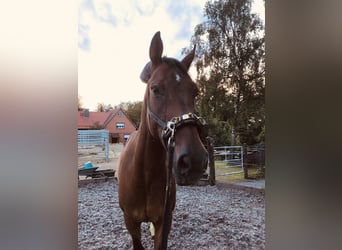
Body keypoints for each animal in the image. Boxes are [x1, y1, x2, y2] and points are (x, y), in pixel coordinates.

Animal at [117, 31, 208, 250]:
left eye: (195, 92)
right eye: (155, 89)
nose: (194, 160)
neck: (144, 174)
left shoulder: (164, 222)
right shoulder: (130, 222)